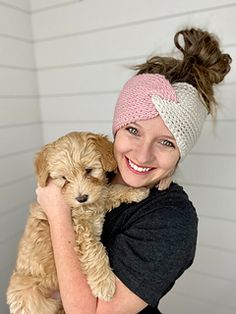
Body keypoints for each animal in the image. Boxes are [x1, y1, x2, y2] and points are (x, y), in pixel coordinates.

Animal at [6, 131, 149, 312]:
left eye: (88, 170)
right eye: (64, 178)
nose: (81, 198)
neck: (86, 207)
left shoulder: (98, 197)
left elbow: (110, 191)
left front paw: (137, 192)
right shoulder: (81, 227)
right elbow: (94, 249)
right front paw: (104, 285)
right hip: (32, 299)